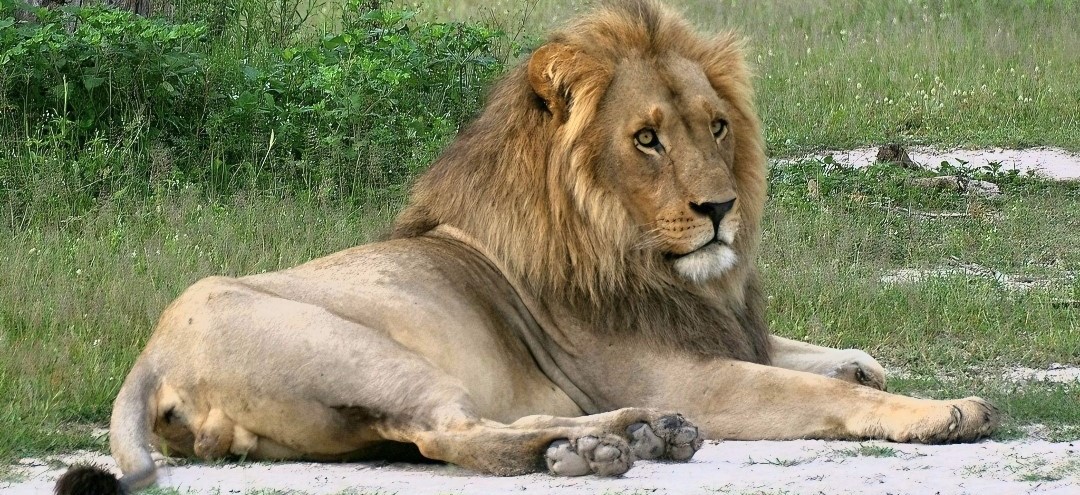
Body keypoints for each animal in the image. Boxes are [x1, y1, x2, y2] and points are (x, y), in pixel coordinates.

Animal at [56, 1, 998, 493]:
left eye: (717, 126)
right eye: (646, 139)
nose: (721, 207)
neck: (643, 256)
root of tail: (148, 354)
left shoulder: (716, 326)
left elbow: (806, 353)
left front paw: (862, 360)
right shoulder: (682, 370)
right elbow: (803, 388)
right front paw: (941, 410)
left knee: (437, 433)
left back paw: (628, 437)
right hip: (369, 354)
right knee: (451, 433)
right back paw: (608, 443)